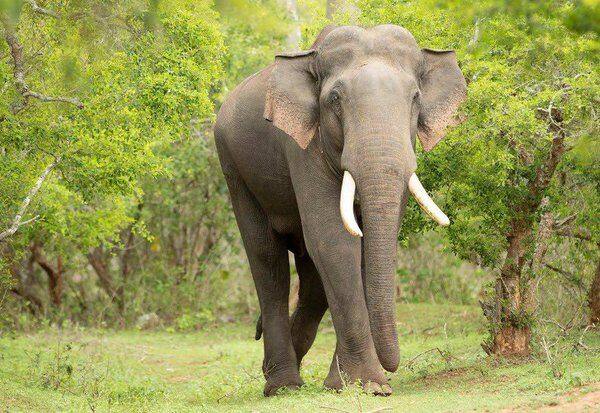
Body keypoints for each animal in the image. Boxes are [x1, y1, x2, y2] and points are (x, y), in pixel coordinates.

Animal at [214, 24, 466, 396]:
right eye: (335, 99)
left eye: (415, 98)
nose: (393, 366)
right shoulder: (303, 146)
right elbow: (333, 240)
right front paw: (370, 385)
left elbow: (361, 249)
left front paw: (347, 384)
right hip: (233, 167)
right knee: (268, 260)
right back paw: (283, 385)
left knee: (312, 279)